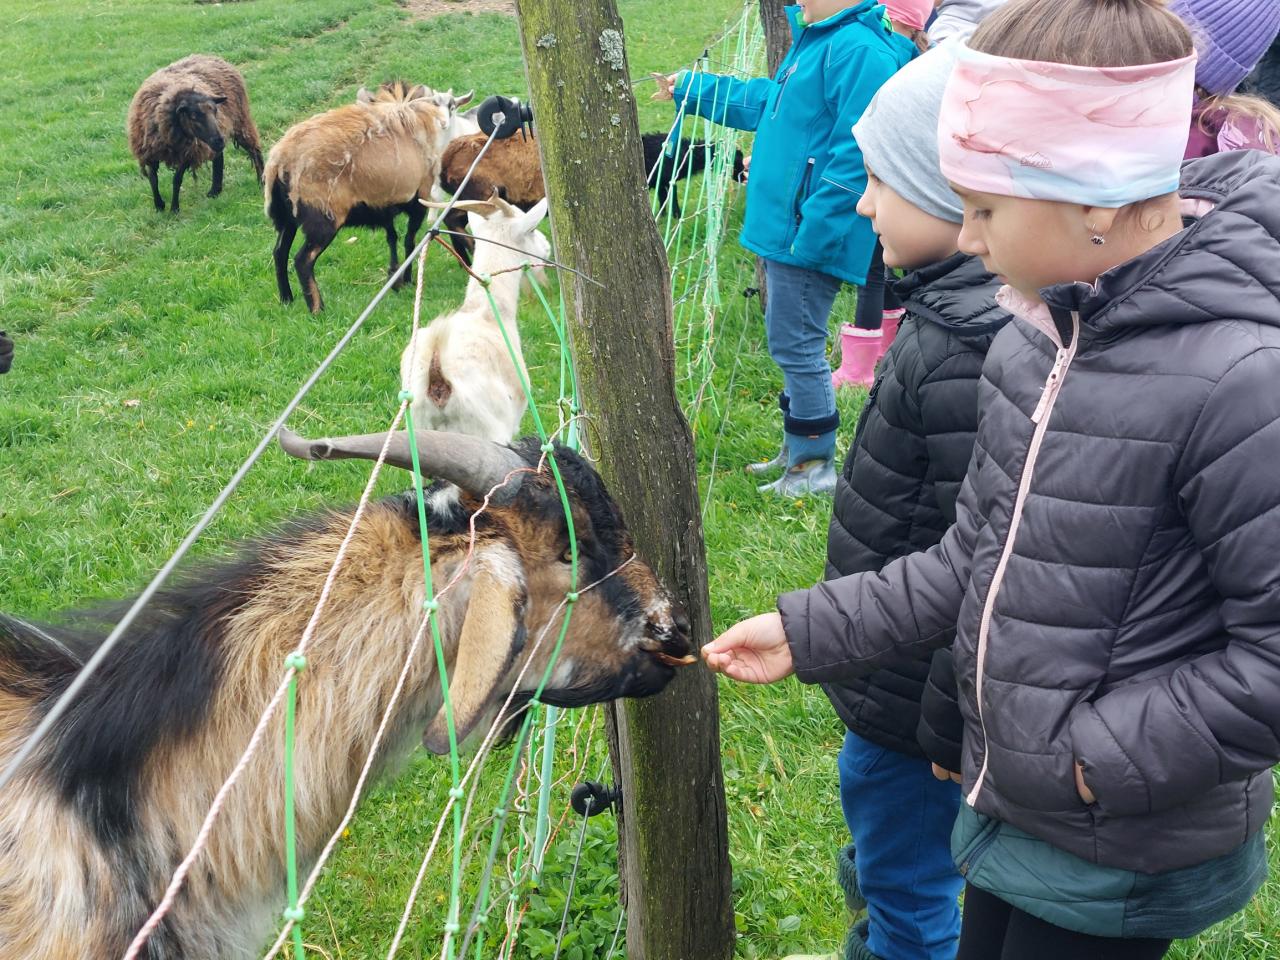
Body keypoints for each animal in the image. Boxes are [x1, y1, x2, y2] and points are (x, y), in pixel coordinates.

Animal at [126, 54, 264, 214]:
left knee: (254, 149)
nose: (219, 140)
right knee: (219, 156)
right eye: (193, 116)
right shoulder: (149, 152)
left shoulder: (189, 152)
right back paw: (214, 191)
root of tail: (213, 57)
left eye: (215, 111)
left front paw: (174, 209)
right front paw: (159, 205)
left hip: (240, 120)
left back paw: (261, 182)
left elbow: (176, 179)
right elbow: (153, 179)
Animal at [265, 81, 451, 313]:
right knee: (302, 261)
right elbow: (409, 240)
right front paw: (407, 280)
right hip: (323, 217)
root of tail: (280, 161)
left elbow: (392, 237)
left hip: (286, 217)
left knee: (279, 253)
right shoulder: (418, 200)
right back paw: (317, 309)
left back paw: (286, 300)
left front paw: (394, 279)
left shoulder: (383, 206)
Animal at [437, 130, 745, 263]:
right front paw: (673, 219)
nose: (744, 175)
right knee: (456, 222)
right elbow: (668, 197)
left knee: (452, 221)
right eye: (736, 159)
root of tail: (445, 161)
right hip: (480, 195)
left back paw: (466, 258)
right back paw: (473, 252)